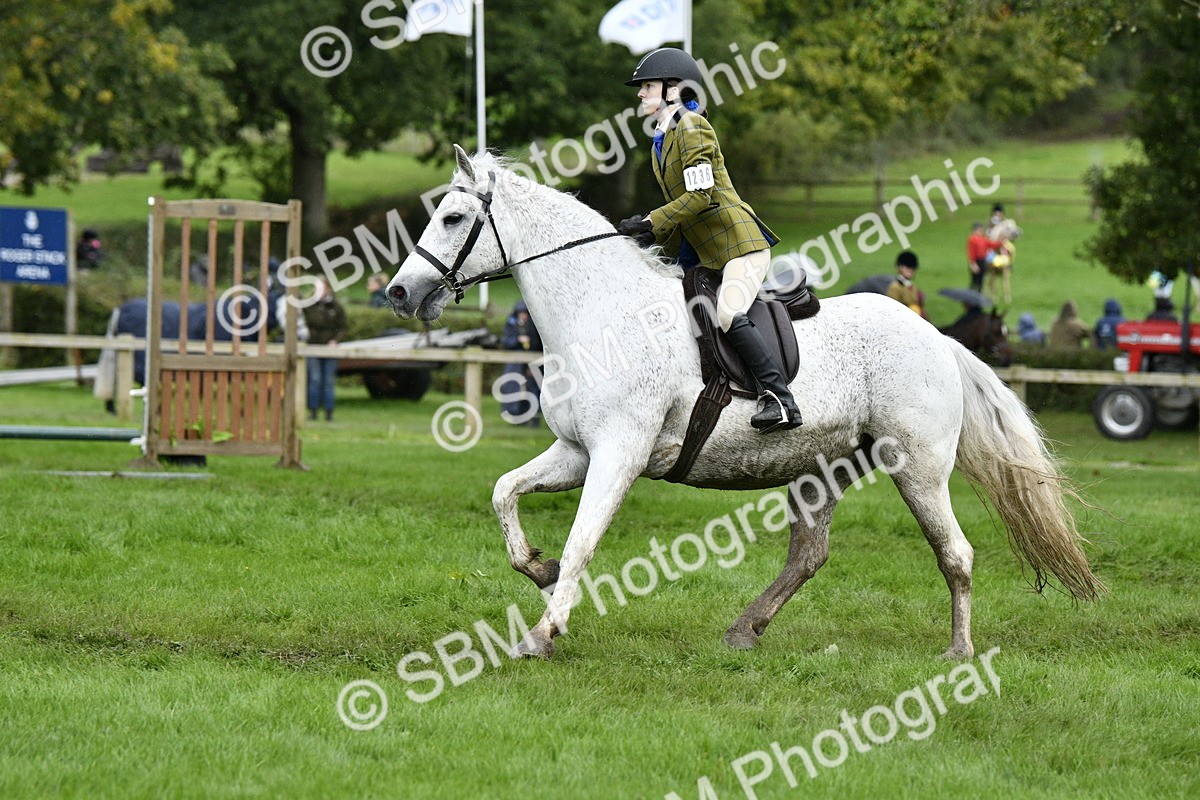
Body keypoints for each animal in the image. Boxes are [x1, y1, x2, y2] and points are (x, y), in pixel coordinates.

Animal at [385, 146, 1104, 661]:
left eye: (452, 218)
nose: (398, 292)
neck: (602, 309)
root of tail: (938, 339)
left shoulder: (618, 453)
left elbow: (585, 539)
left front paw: (543, 631)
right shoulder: (576, 451)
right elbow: (505, 492)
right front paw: (538, 567)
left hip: (918, 466)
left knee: (955, 553)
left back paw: (958, 651)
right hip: (822, 468)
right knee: (809, 555)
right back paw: (745, 629)